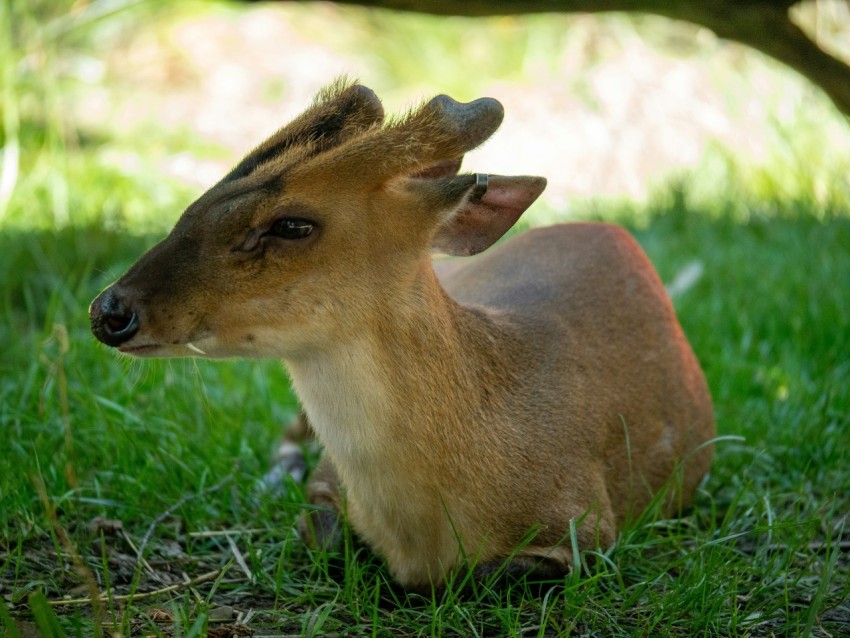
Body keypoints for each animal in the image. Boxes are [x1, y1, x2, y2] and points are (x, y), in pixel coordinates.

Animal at [89, 81, 712, 596]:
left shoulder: (589, 526)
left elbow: (482, 575)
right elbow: (322, 533)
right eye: (203, 198)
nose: (109, 311)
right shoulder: (328, 481)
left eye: (292, 224)